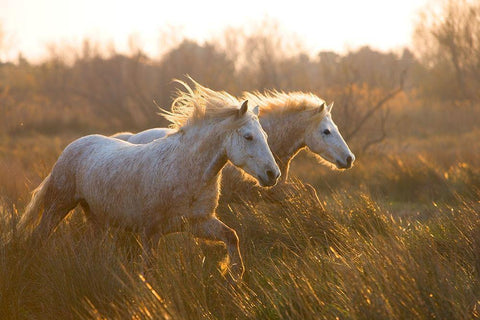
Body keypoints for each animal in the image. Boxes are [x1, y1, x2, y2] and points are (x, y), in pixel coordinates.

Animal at [19, 80, 282, 280]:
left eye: (265, 135)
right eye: (248, 137)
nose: (273, 174)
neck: (184, 170)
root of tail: (72, 146)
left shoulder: (199, 223)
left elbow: (231, 237)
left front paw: (234, 276)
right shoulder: (150, 232)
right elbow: (149, 270)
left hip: (95, 218)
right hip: (58, 206)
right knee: (38, 237)